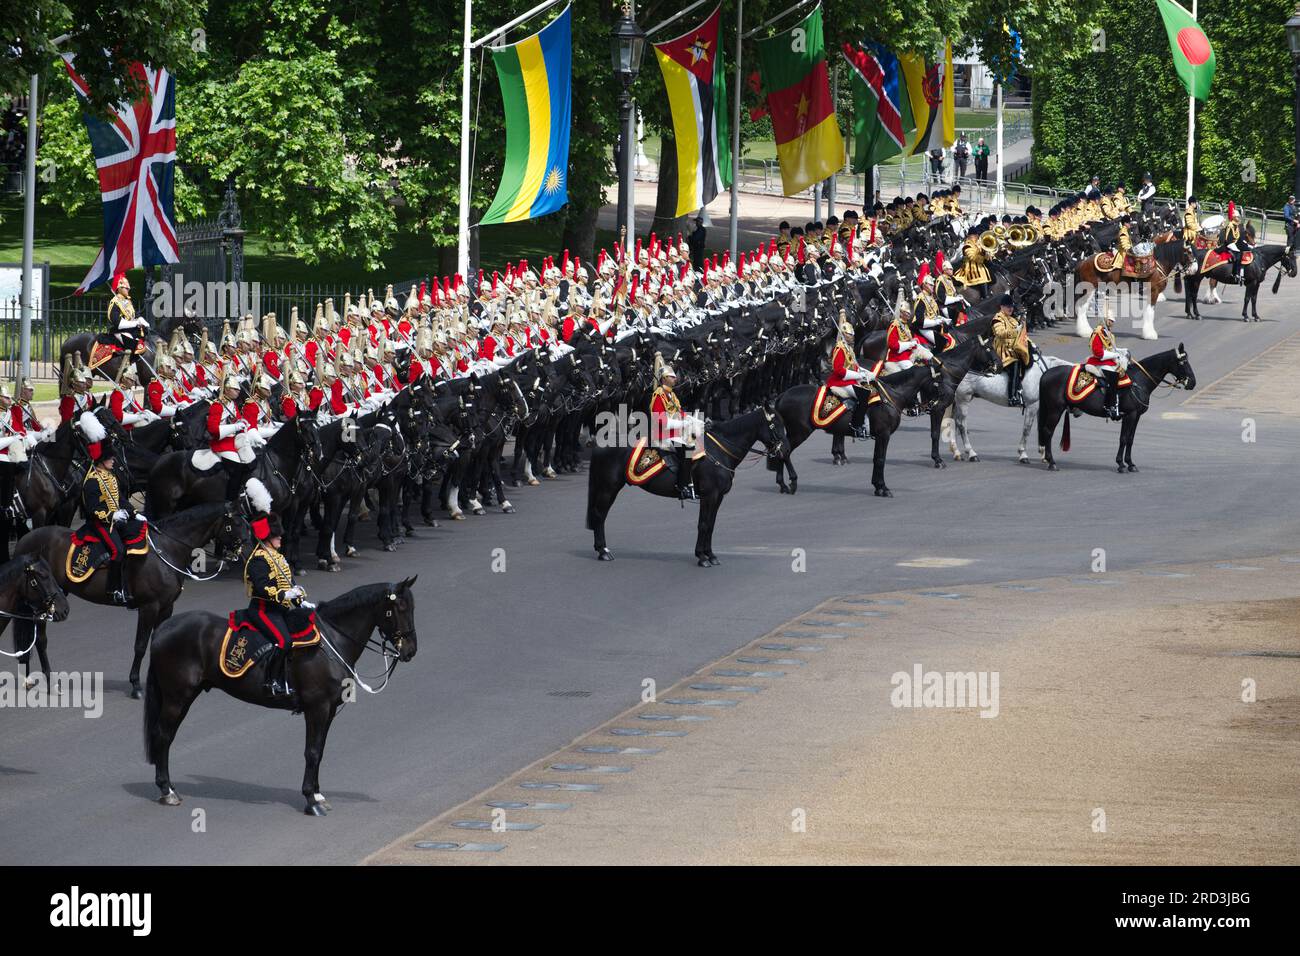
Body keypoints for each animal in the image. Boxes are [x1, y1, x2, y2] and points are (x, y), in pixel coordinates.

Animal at [148, 574, 421, 816]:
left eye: (412, 607)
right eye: (399, 608)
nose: (410, 650)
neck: (331, 641)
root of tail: (163, 628)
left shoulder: (329, 709)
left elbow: (320, 750)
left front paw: (318, 794)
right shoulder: (317, 707)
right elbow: (312, 751)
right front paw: (311, 800)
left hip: (184, 697)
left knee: (167, 737)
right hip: (176, 697)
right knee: (162, 736)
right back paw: (167, 791)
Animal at [587, 405, 785, 567]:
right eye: (775, 425)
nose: (783, 451)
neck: (720, 450)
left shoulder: (718, 496)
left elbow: (711, 524)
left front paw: (710, 555)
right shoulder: (709, 494)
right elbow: (703, 524)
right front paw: (702, 557)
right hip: (608, 488)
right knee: (599, 515)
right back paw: (603, 551)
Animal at [1034, 348, 1196, 476]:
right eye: (1183, 362)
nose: (1192, 383)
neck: (1138, 381)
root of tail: (1047, 373)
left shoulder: (1136, 416)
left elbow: (1130, 439)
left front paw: (1130, 464)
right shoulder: (1130, 415)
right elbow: (1123, 438)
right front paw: (1121, 464)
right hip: (1055, 410)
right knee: (1048, 431)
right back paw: (1051, 462)